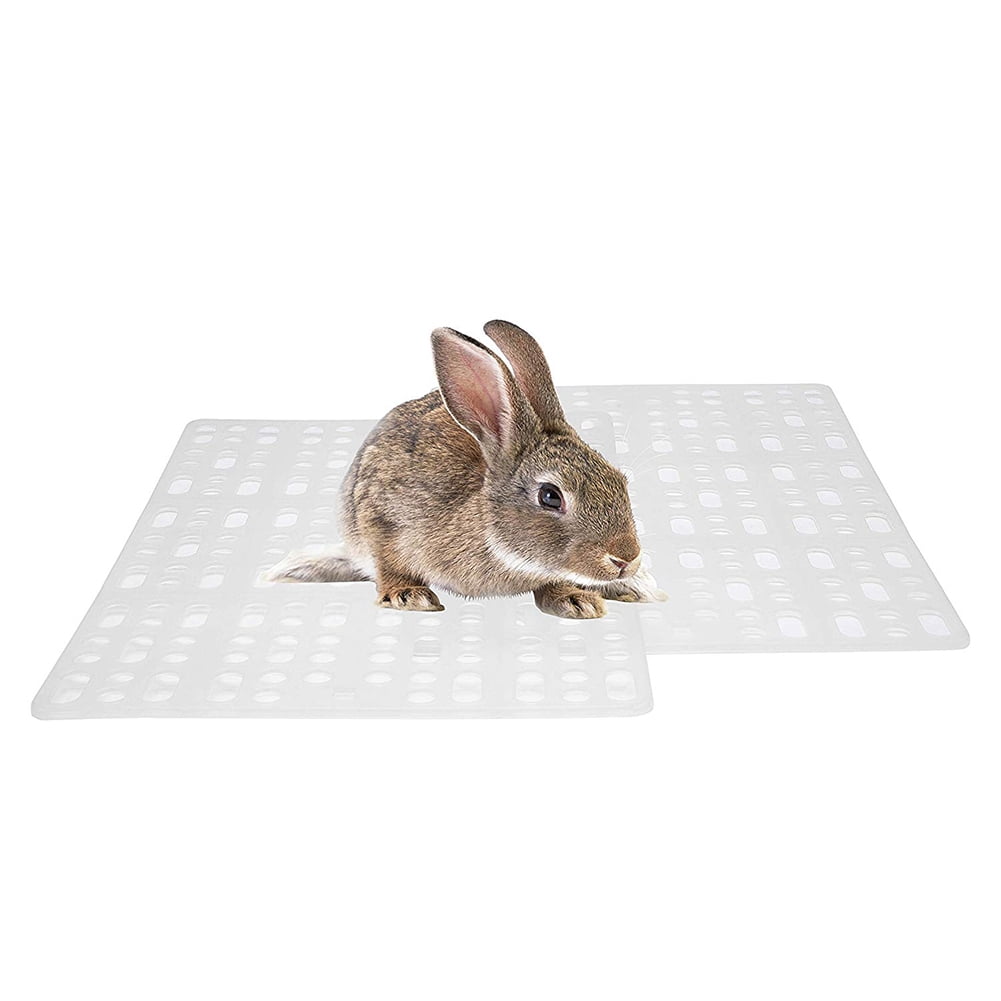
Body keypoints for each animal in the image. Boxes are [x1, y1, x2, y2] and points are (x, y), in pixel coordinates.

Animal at [268, 320, 667, 619]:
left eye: (620, 480)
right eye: (551, 496)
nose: (626, 559)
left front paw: (576, 600)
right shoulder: (379, 518)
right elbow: (388, 565)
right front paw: (408, 595)